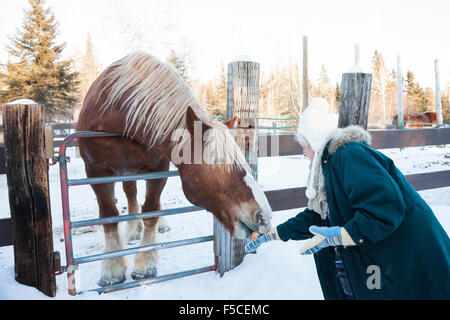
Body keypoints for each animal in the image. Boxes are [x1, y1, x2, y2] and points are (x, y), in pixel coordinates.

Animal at [76, 52, 272, 288]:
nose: (264, 217)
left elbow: (151, 211)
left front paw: (145, 266)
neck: (117, 114)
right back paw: (132, 231)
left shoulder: (158, 168)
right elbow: (109, 216)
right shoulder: (95, 172)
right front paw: (112, 271)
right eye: (217, 163)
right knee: (130, 193)